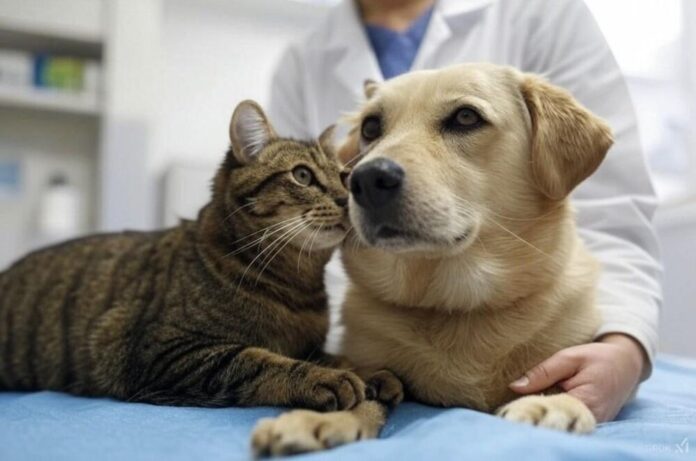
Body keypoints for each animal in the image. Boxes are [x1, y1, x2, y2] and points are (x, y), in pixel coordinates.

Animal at [0, 99, 368, 410]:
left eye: (344, 177)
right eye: (302, 175)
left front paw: (366, 370)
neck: (298, 285)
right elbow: (256, 360)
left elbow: (336, 355)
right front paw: (324, 377)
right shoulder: (164, 351)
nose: (344, 197)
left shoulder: (310, 345)